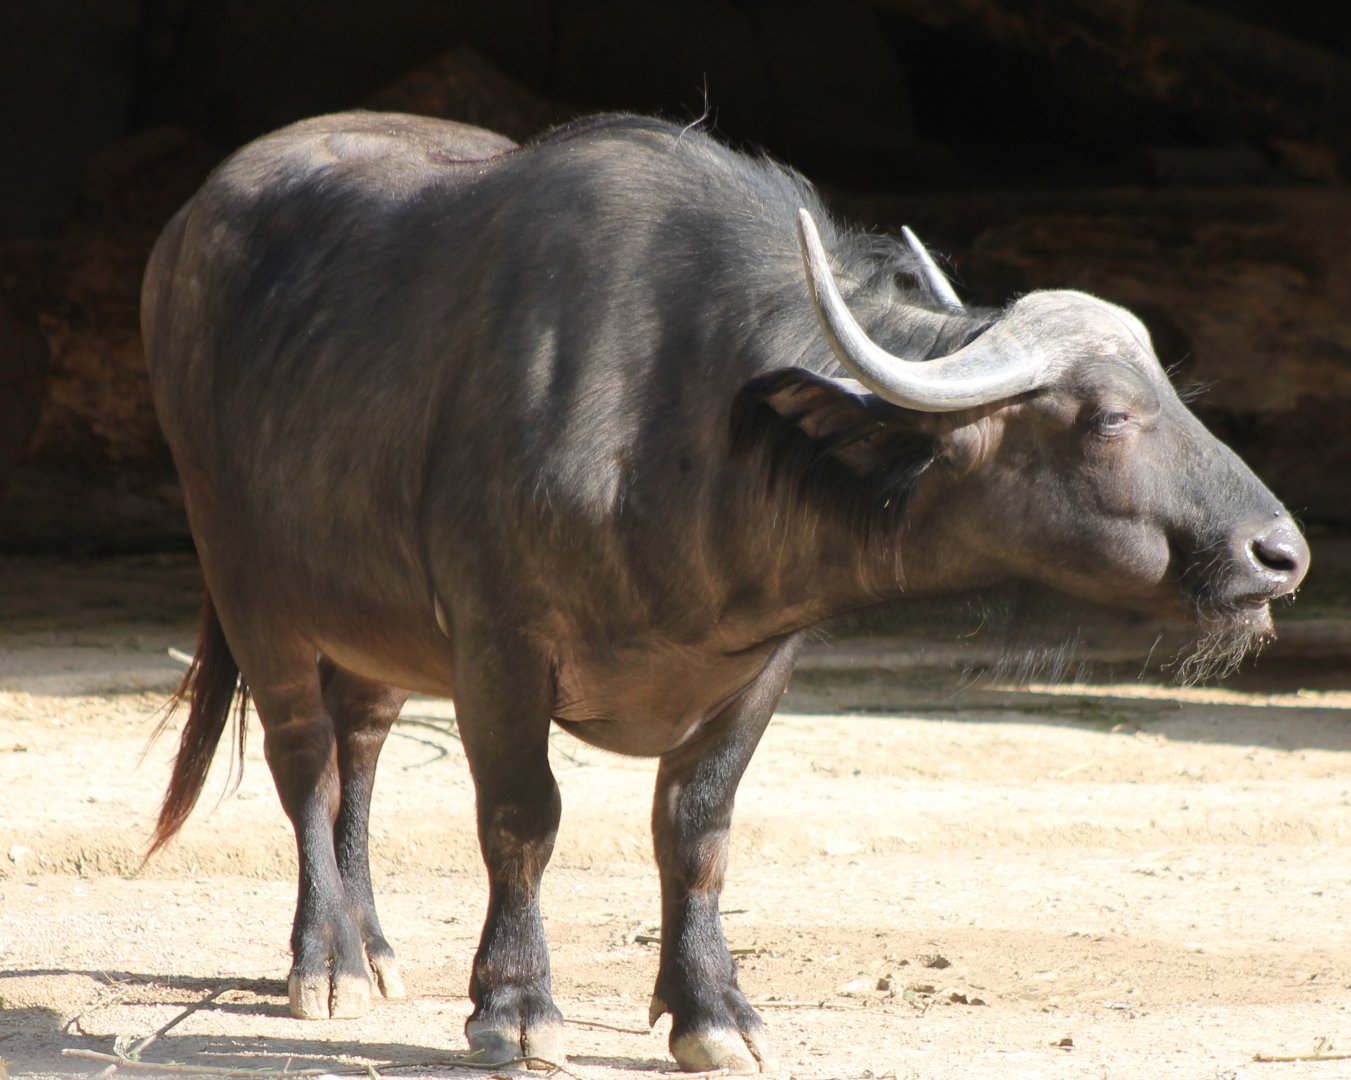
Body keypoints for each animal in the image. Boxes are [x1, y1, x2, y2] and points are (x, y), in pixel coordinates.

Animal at [141, 111, 1309, 1072]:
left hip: (374, 621)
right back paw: (325, 959)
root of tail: (185, 231)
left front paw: (712, 1011)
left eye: (1171, 393)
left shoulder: (758, 666)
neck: (687, 414)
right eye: (1106, 416)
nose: (1278, 555)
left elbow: (696, 828)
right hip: (248, 580)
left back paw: (374, 945)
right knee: (304, 760)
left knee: (364, 745)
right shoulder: (498, 644)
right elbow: (522, 818)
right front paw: (514, 1007)